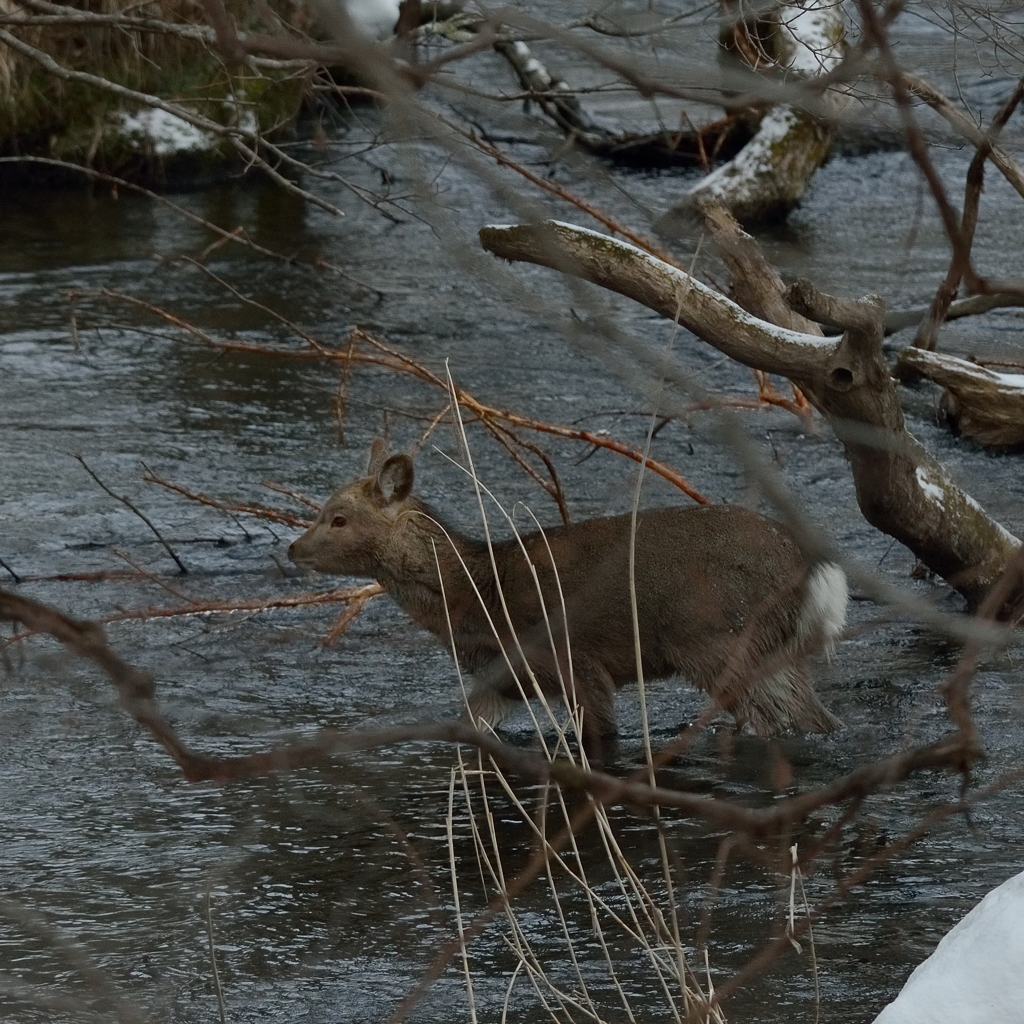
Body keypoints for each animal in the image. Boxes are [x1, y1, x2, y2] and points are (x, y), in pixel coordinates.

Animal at [288, 440, 847, 753]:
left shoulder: (576, 661)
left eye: (339, 518)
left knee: (777, 720)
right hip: (771, 646)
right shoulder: (507, 676)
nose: (294, 548)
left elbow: (600, 735)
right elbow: (467, 723)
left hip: (720, 636)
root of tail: (816, 571)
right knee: (816, 718)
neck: (477, 592)